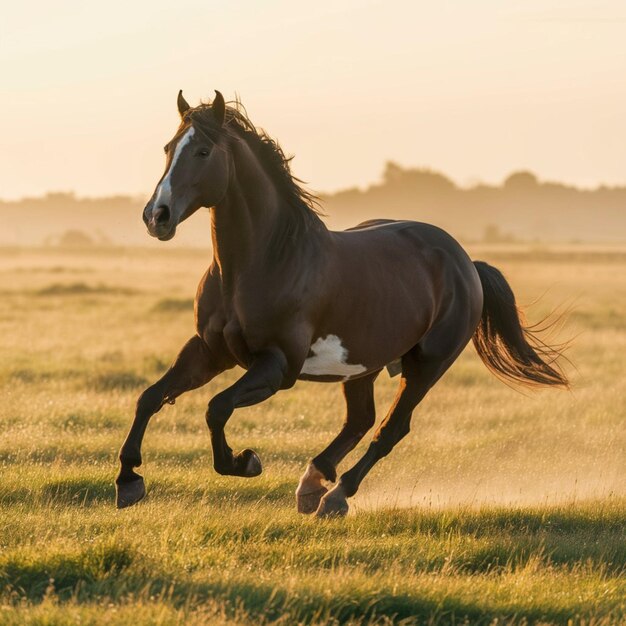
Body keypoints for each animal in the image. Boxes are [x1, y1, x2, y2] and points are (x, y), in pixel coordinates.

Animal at [114, 89, 568, 516]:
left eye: (203, 152)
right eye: (169, 148)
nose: (157, 216)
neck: (262, 262)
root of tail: (465, 262)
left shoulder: (278, 365)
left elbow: (216, 407)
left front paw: (245, 461)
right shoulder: (210, 351)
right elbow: (150, 397)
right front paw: (128, 480)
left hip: (427, 365)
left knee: (391, 429)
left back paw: (335, 496)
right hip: (365, 364)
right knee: (360, 420)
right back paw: (313, 483)